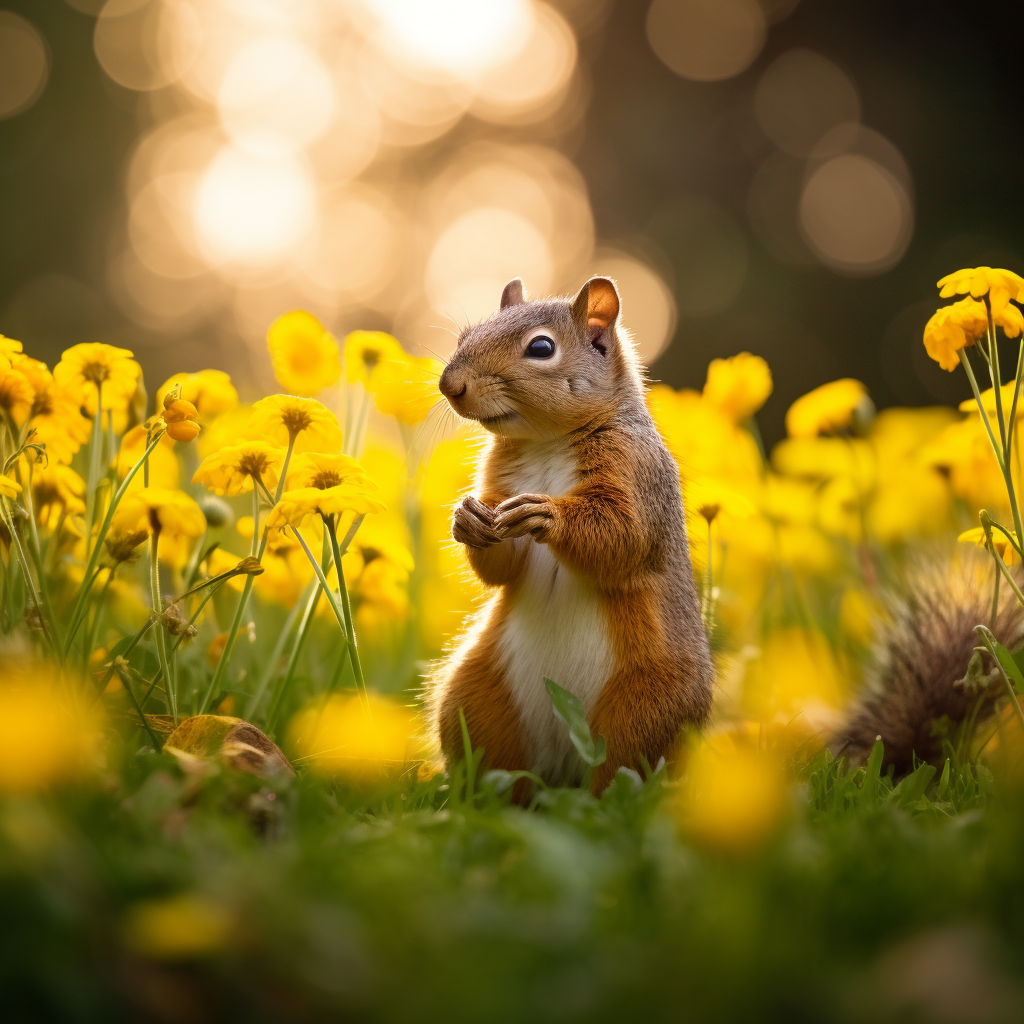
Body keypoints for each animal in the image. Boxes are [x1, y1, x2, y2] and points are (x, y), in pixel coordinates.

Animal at [425, 278, 712, 790]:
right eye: (465, 336)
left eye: (541, 348)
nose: (450, 385)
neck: (546, 442)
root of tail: (564, 762)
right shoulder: (500, 489)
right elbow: (501, 567)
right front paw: (467, 520)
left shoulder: (636, 472)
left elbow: (624, 535)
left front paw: (548, 515)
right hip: (476, 695)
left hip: (649, 706)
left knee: (622, 774)